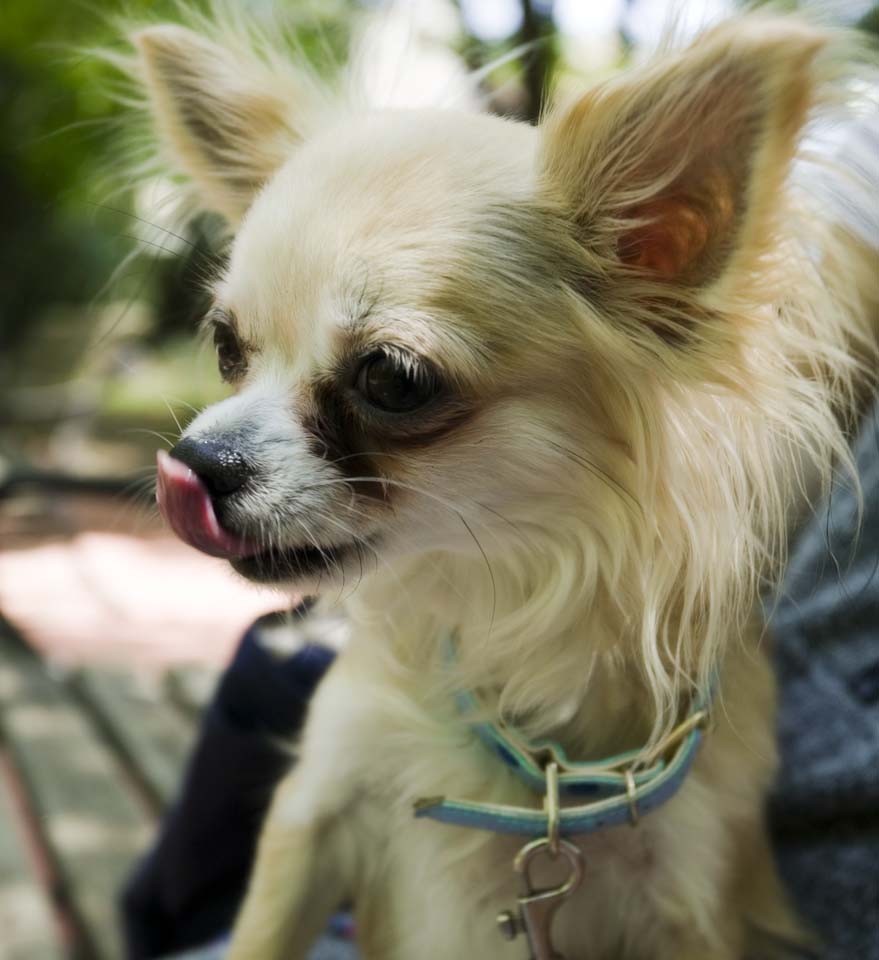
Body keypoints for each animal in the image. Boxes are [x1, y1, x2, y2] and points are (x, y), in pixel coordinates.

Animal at [127, 3, 876, 956]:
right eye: (226, 347)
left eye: (392, 378)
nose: (196, 462)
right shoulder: (317, 810)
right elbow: (263, 933)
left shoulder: (693, 898)